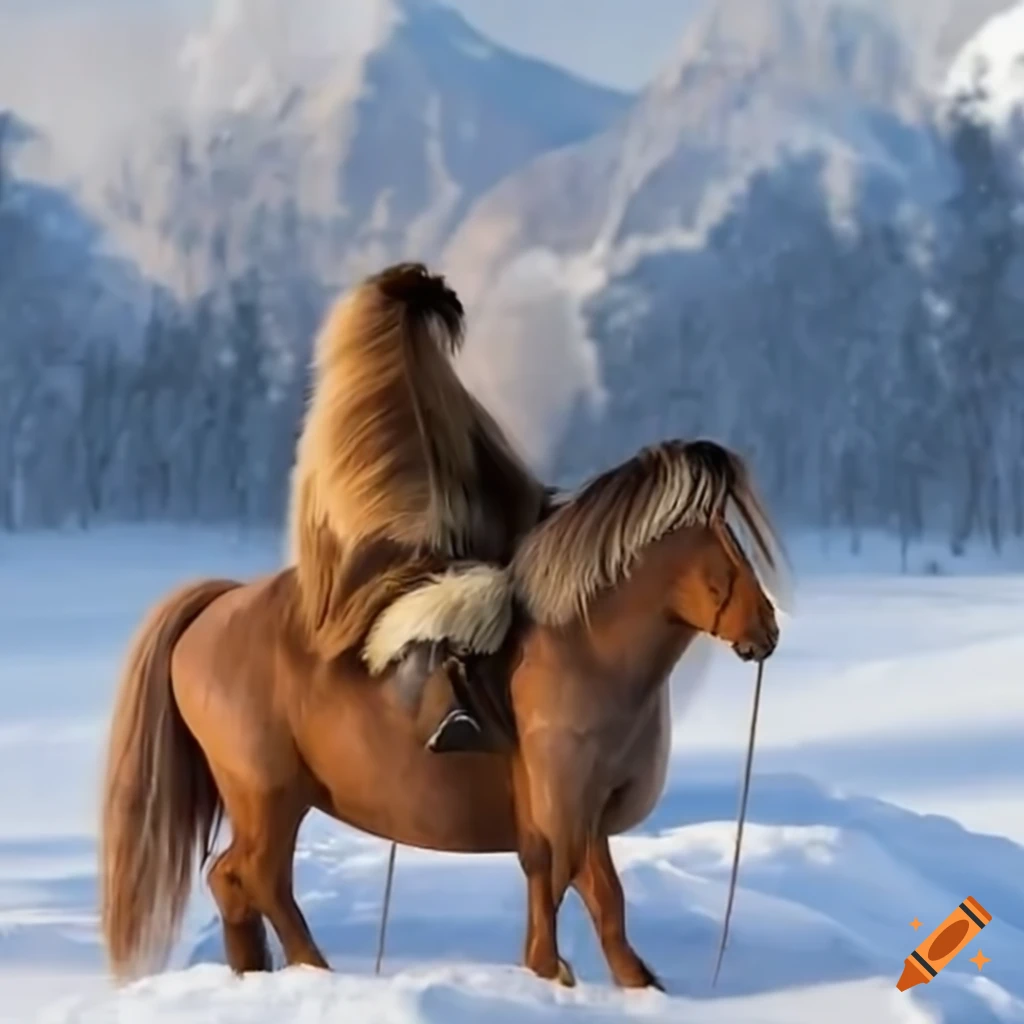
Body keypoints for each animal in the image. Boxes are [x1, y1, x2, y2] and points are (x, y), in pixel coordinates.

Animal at [99, 438, 787, 990]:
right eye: (728, 548)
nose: (767, 630)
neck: (585, 646)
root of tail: (217, 608)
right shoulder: (564, 799)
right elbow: (569, 881)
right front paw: (554, 973)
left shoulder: (577, 808)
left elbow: (587, 890)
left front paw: (621, 981)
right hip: (268, 796)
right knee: (259, 877)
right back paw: (313, 971)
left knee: (231, 880)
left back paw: (256, 974)